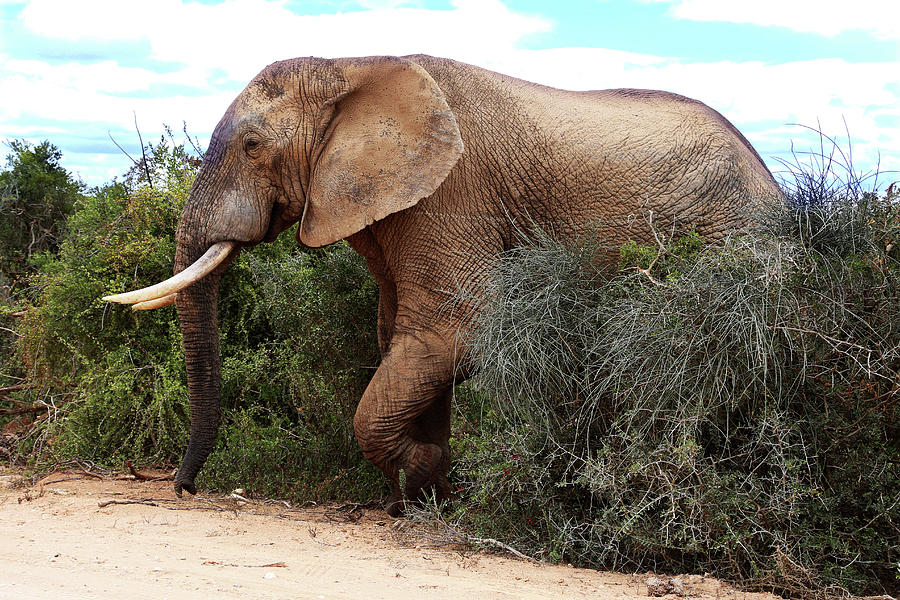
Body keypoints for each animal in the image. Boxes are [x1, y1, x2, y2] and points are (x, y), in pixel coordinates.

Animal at [103, 55, 780, 516]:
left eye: (251, 145)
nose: (182, 488)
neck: (354, 67)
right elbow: (401, 337)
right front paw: (422, 497)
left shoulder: (453, 193)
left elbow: (449, 333)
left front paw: (431, 481)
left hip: (728, 232)